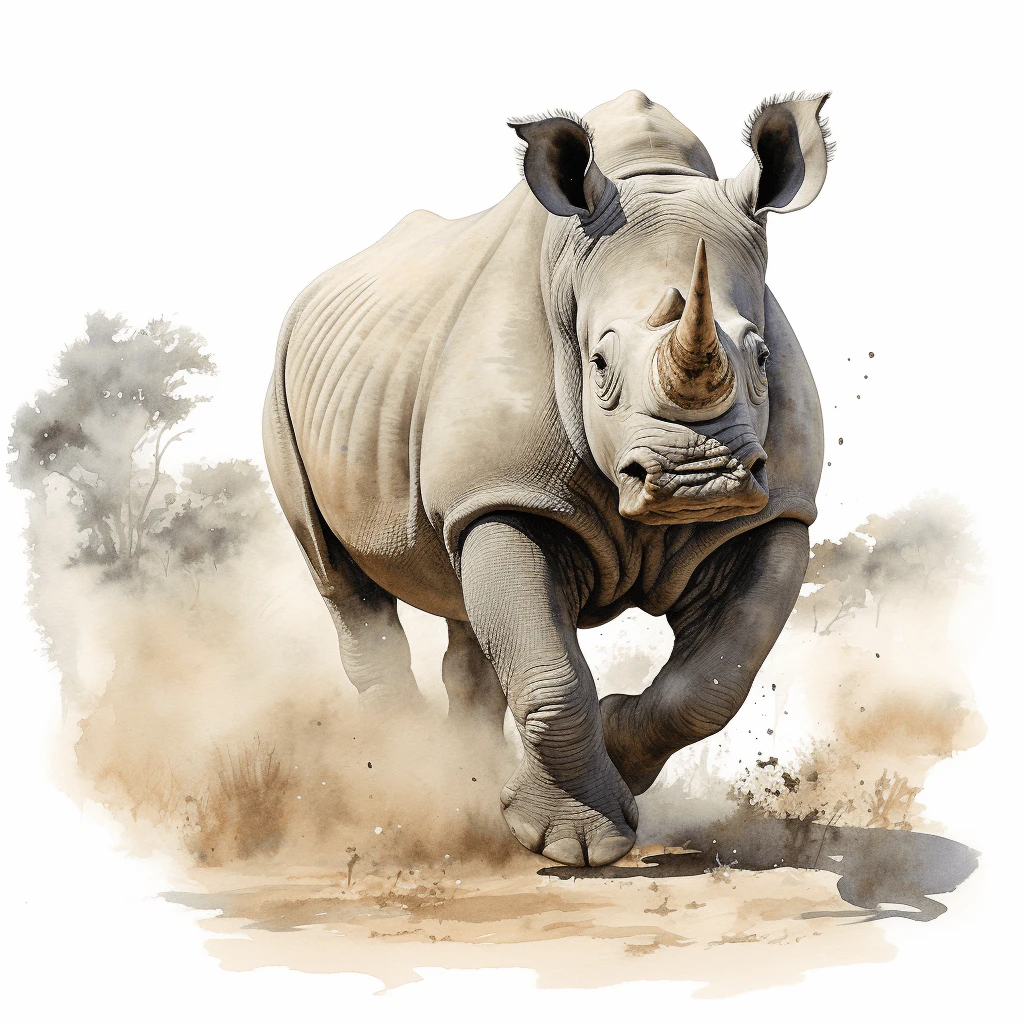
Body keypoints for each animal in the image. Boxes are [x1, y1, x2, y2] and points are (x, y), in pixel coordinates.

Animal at [263, 89, 829, 867]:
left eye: (764, 356)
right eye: (598, 364)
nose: (697, 481)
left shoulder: (776, 511)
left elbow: (716, 680)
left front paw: (620, 753)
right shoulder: (507, 493)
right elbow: (552, 673)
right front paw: (576, 847)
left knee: (461, 600)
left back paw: (463, 778)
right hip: (283, 383)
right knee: (340, 579)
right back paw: (409, 776)